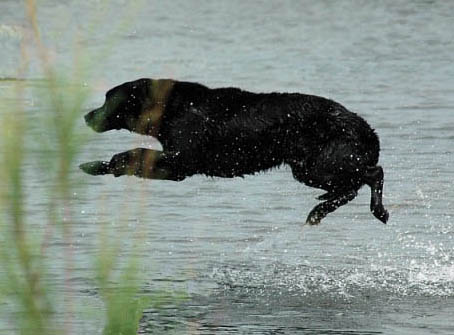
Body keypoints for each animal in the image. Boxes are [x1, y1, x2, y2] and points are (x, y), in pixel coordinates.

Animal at [80, 79, 388, 226]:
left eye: (109, 99)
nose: (87, 116)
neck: (173, 107)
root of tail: (366, 129)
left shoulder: (181, 162)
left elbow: (128, 154)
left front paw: (99, 164)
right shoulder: (173, 165)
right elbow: (128, 161)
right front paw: (94, 166)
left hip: (318, 165)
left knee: (371, 175)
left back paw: (363, 210)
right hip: (309, 168)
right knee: (353, 185)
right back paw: (323, 207)